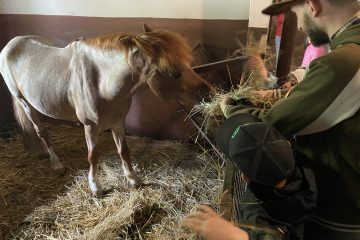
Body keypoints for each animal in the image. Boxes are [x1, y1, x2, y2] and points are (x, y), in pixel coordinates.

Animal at [0, 24, 214, 196]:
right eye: (174, 73)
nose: (208, 94)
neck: (102, 82)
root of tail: (11, 44)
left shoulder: (118, 121)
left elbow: (123, 150)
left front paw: (133, 179)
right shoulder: (90, 126)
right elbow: (93, 156)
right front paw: (95, 187)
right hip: (24, 103)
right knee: (41, 131)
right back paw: (57, 164)